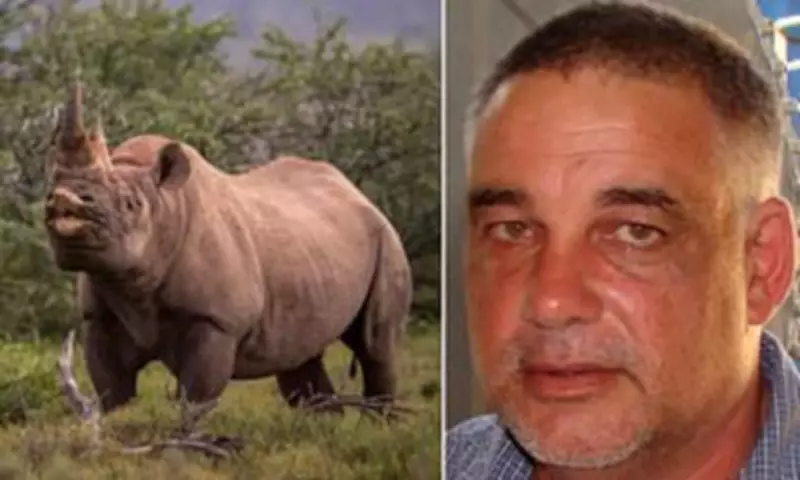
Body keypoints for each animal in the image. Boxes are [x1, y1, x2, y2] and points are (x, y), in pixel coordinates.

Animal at [43, 81, 413, 435]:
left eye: (130, 204)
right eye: (50, 193)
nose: (64, 203)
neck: (165, 209)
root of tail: (358, 193)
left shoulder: (216, 321)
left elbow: (195, 402)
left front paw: (184, 449)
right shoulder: (100, 317)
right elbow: (113, 394)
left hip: (386, 239)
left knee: (376, 347)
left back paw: (377, 432)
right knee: (298, 362)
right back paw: (325, 433)